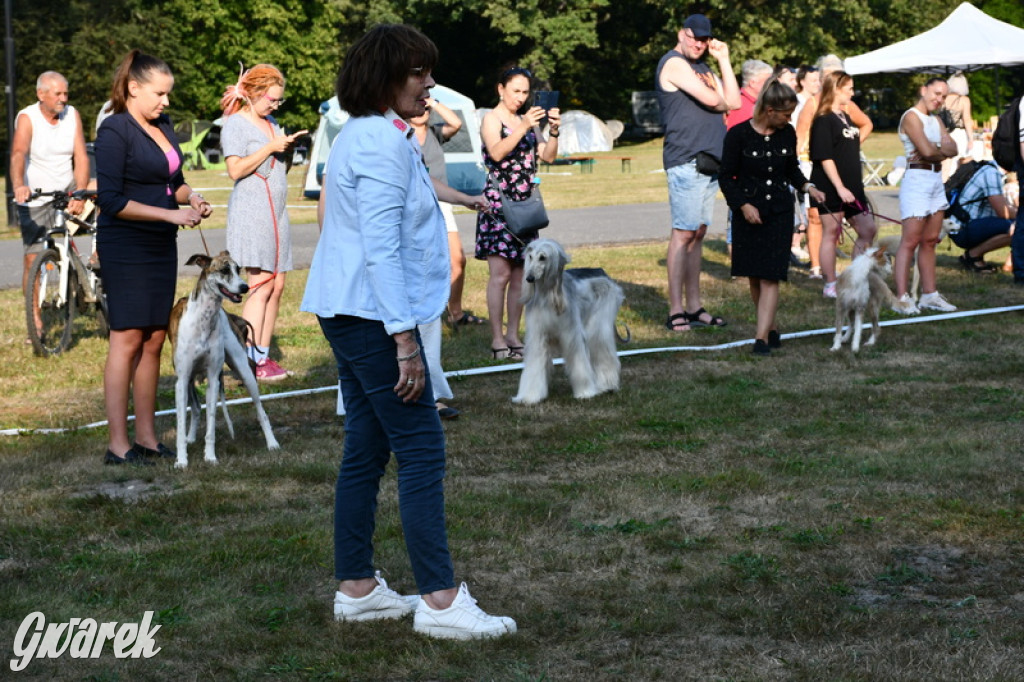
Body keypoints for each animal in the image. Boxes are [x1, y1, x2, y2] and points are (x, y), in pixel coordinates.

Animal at [167, 250, 280, 466]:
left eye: (238, 269)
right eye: (224, 270)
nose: (245, 287)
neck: (204, 319)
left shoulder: (213, 378)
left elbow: (211, 424)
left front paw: (210, 456)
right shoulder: (182, 380)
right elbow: (181, 423)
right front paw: (182, 460)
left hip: (244, 371)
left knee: (261, 411)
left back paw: (272, 443)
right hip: (190, 380)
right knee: (195, 408)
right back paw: (190, 438)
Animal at [512, 237, 622, 403]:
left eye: (543, 257)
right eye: (530, 257)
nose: (529, 278)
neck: (546, 295)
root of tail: (601, 271)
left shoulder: (571, 334)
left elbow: (579, 362)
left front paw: (585, 392)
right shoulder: (537, 335)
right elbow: (535, 363)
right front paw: (529, 396)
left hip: (600, 322)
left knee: (602, 349)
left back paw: (607, 385)